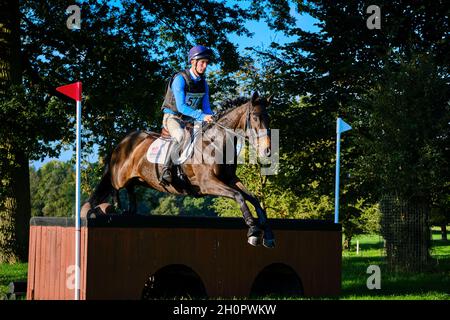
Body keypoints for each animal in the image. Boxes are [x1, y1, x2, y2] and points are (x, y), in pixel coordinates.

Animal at [83, 90, 276, 248]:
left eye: (269, 118)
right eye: (255, 117)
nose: (267, 150)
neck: (215, 142)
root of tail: (124, 141)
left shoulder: (230, 179)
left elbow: (253, 198)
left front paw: (268, 234)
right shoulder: (208, 183)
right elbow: (239, 196)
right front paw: (253, 230)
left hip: (136, 178)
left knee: (129, 189)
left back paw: (129, 210)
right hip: (118, 177)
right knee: (111, 186)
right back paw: (111, 207)